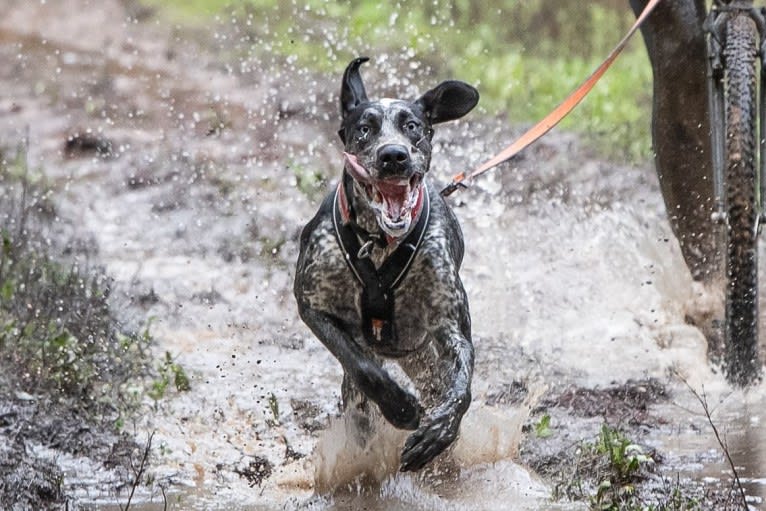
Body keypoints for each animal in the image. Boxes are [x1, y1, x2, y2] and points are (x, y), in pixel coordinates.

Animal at [296, 58, 480, 474]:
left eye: (412, 125)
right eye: (364, 128)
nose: (393, 155)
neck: (379, 243)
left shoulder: (450, 324)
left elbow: (461, 388)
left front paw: (439, 432)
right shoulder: (312, 305)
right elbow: (363, 367)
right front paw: (399, 406)